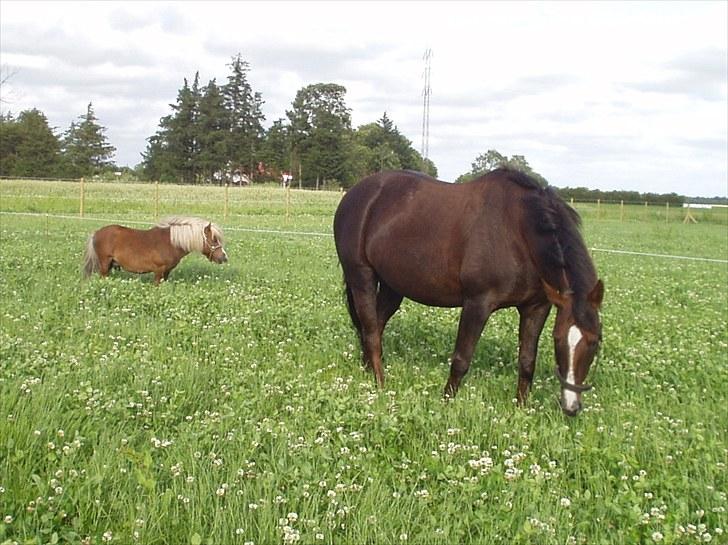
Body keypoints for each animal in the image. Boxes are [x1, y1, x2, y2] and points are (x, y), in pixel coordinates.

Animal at [82, 217, 226, 284]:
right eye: (214, 240)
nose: (224, 257)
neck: (171, 243)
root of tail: (96, 233)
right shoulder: (158, 271)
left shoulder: (166, 272)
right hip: (105, 264)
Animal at [334, 168, 604, 414]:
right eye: (558, 340)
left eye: (595, 341)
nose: (571, 406)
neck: (519, 231)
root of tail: (356, 193)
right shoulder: (478, 303)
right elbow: (461, 359)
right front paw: (445, 403)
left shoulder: (537, 307)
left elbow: (527, 361)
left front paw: (521, 408)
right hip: (361, 276)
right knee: (370, 330)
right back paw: (380, 385)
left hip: (393, 286)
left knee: (375, 326)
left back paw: (368, 373)